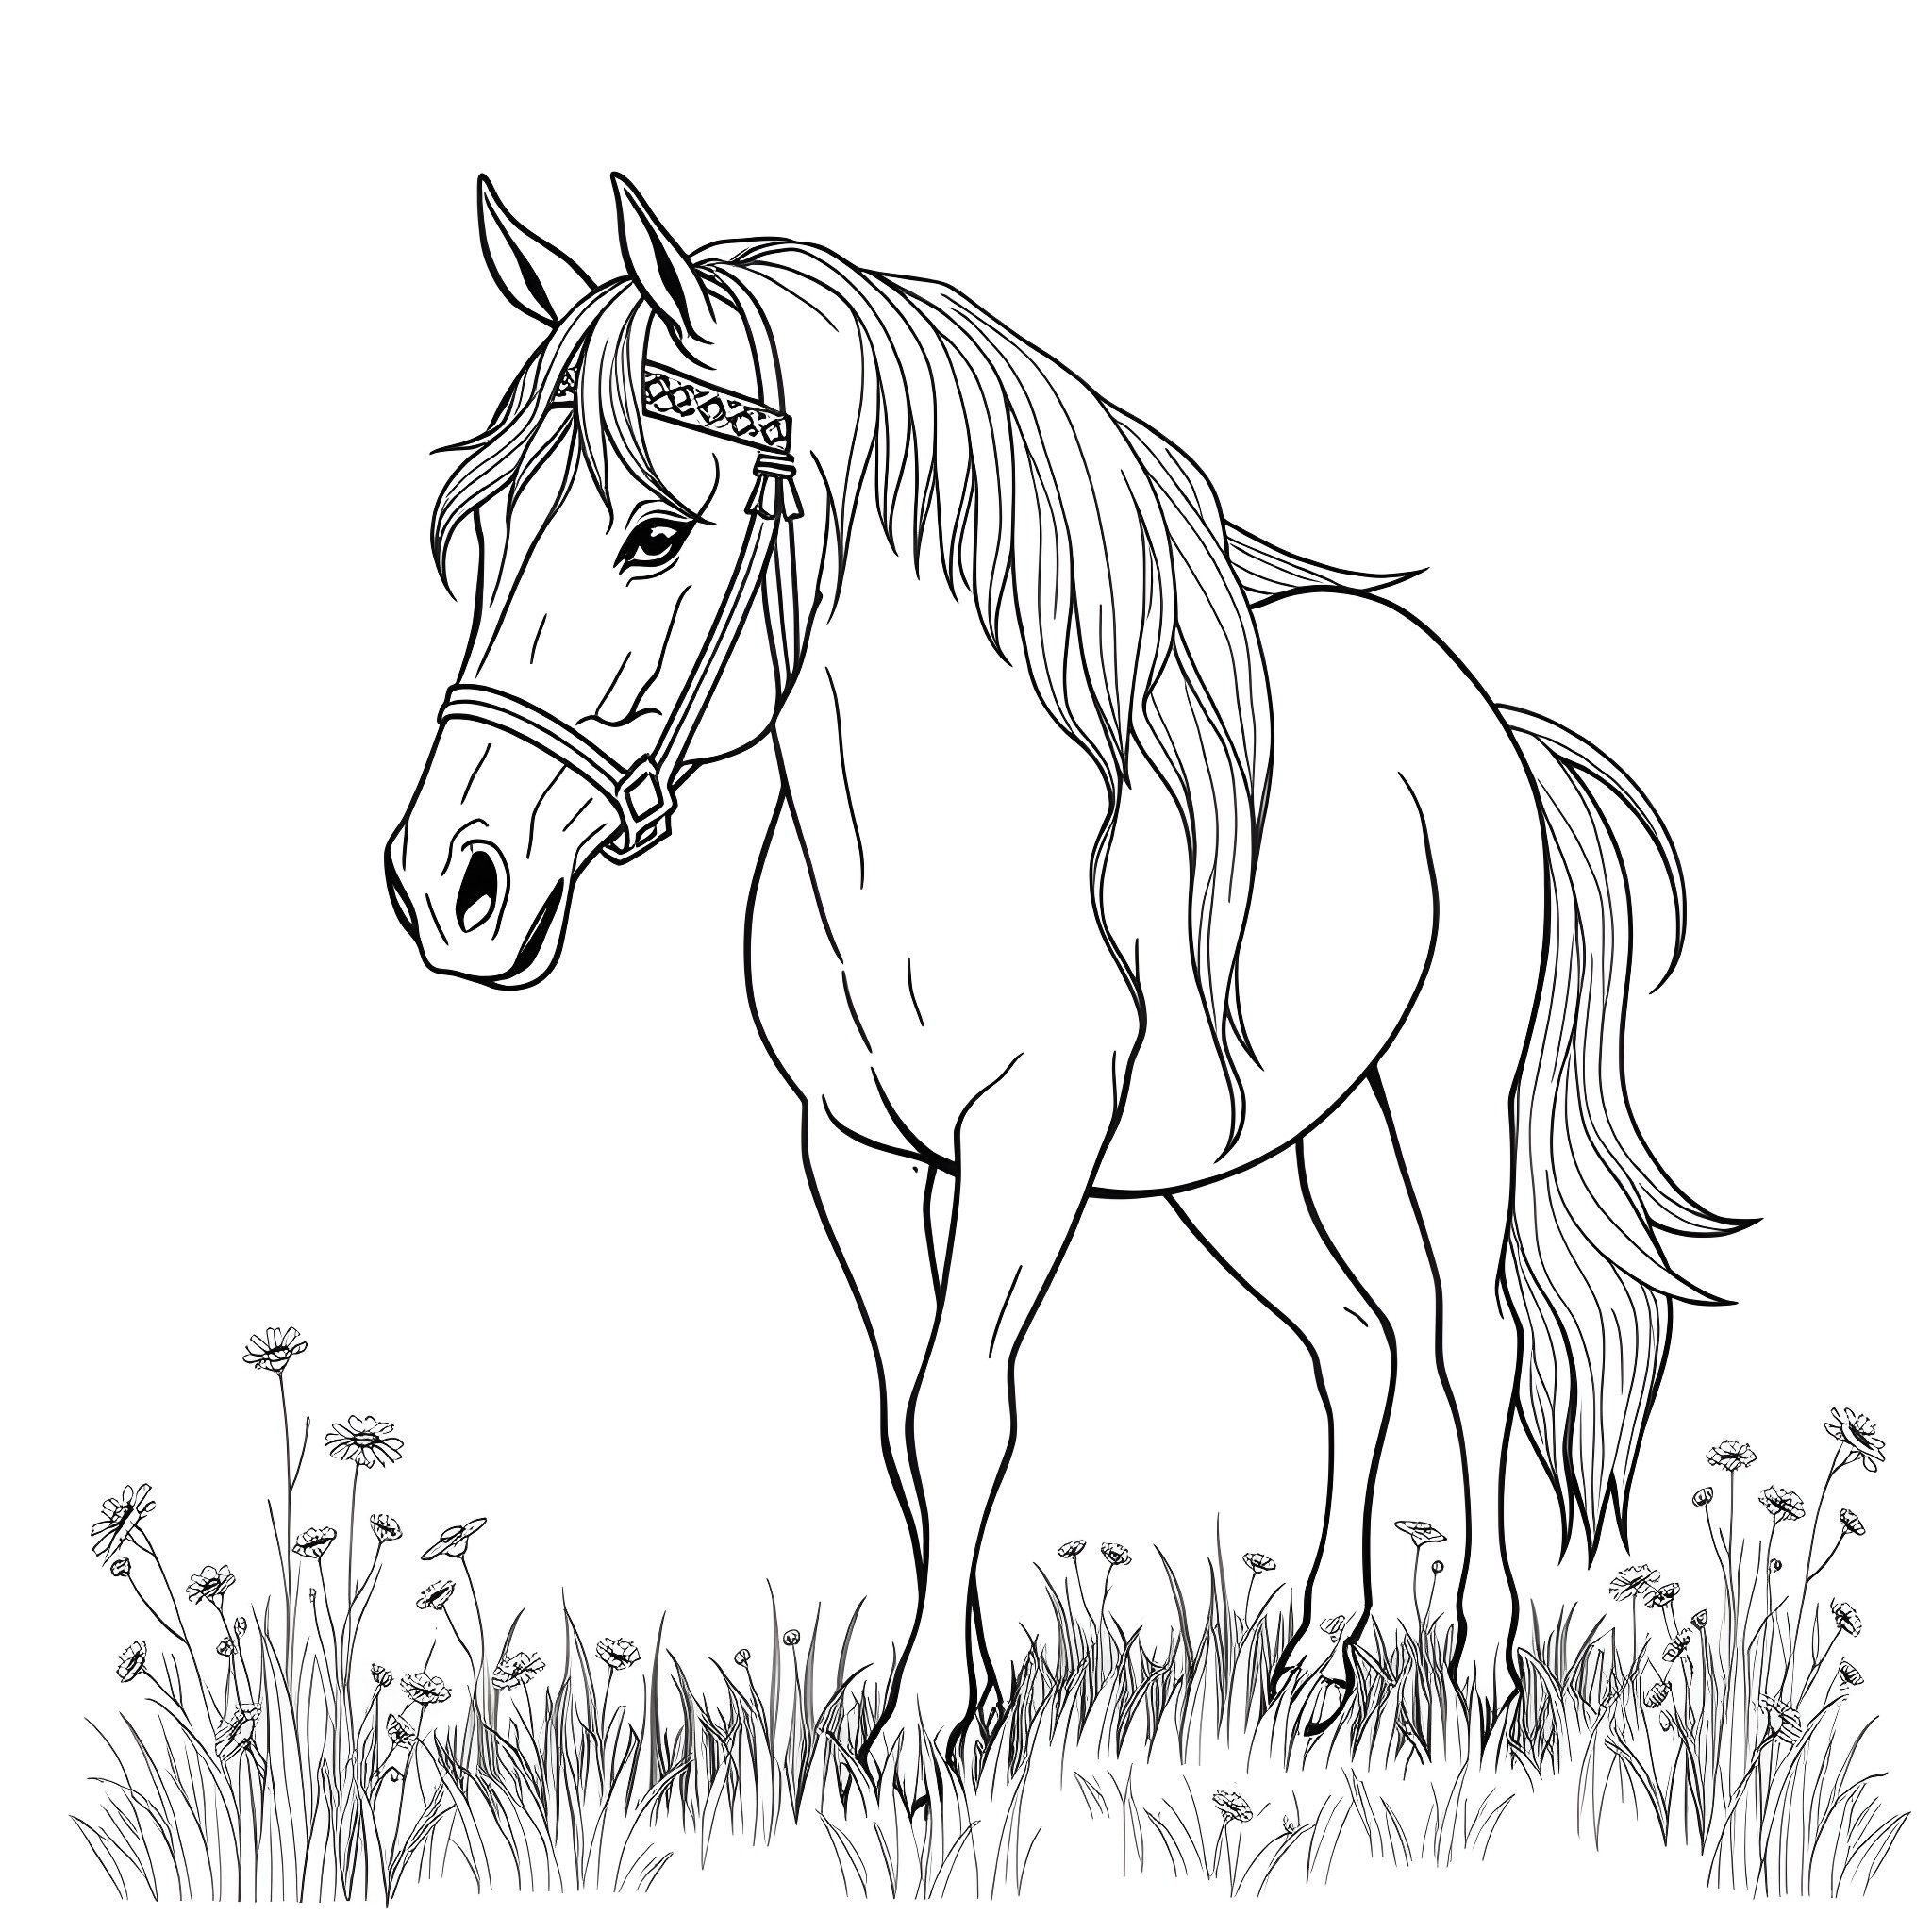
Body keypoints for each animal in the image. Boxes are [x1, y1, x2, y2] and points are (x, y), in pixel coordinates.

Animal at [385, 174, 1745, 1775]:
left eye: (654, 534)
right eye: (473, 534)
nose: (451, 885)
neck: (934, 833)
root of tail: (1475, 710)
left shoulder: (1026, 1146)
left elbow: (965, 1409)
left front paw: (918, 1738)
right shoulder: (854, 1150)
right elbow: (905, 1420)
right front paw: (960, 1694)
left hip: (1446, 1096)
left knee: (1474, 1344)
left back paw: (1481, 1674)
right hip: (1244, 1155)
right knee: (1357, 1342)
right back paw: (1320, 1664)